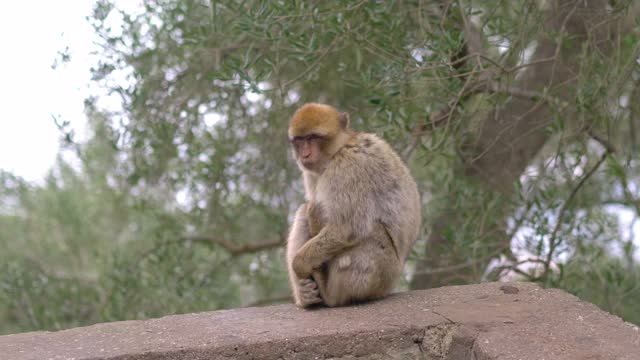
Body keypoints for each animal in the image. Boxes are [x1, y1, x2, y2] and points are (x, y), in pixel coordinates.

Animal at [284, 102, 420, 308]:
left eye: (313, 137)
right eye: (299, 140)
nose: (305, 154)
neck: (339, 149)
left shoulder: (348, 167)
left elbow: (348, 228)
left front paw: (300, 264)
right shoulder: (312, 173)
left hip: (380, 278)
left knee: (372, 232)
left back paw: (329, 293)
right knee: (304, 212)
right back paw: (307, 296)